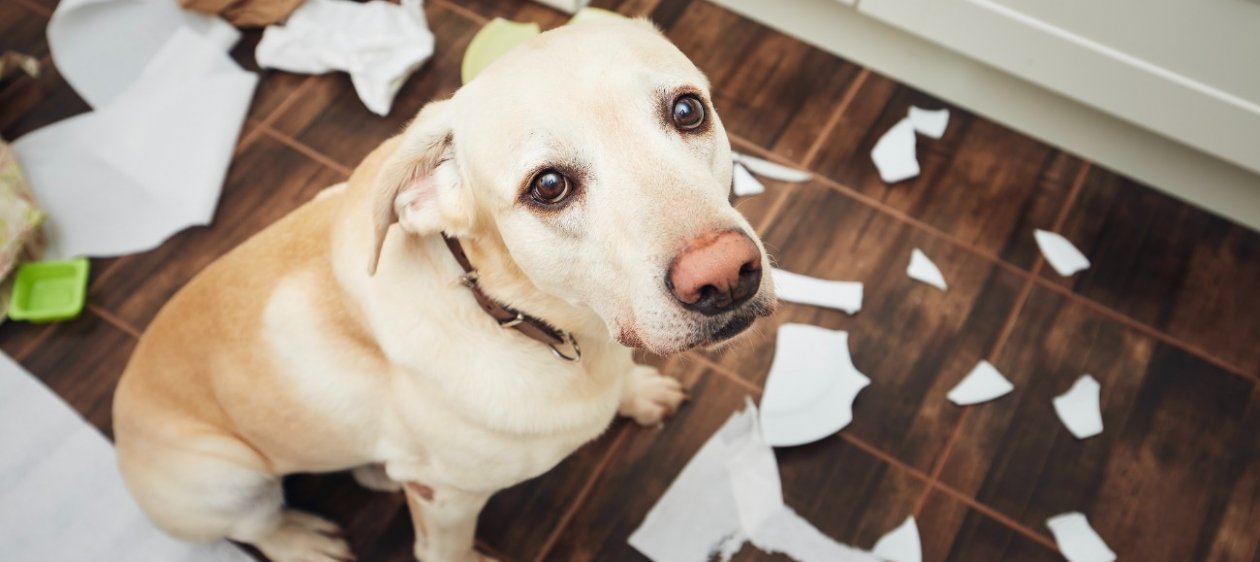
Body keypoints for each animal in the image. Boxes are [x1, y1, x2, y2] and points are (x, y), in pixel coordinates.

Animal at [113, 16, 776, 562]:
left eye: (688, 111)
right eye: (550, 186)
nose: (724, 275)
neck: (517, 316)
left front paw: (637, 392)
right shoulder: (447, 502)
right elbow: (446, 549)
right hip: (224, 478)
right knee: (256, 526)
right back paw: (300, 539)